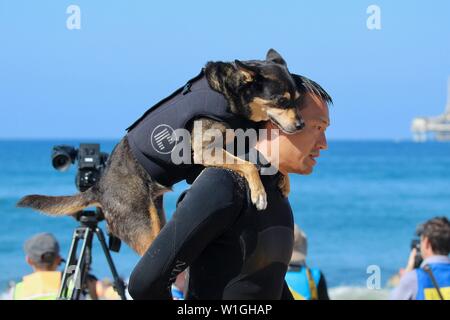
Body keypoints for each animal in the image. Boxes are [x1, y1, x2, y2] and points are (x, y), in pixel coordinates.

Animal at [19, 49, 304, 255]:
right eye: (281, 101)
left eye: (297, 100)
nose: (301, 125)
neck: (229, 95)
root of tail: (99, 187)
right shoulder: (204, 151)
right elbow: (249, 165)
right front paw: (259, 193)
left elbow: (260, 159)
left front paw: (284, 180)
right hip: (142, 227)